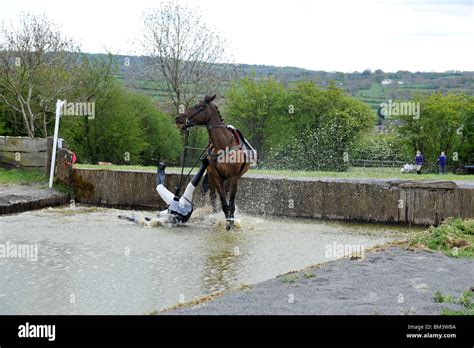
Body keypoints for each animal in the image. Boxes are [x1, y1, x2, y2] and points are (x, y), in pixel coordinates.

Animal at [176, 95, 252, 231]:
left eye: (198, 106)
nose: (178, 118)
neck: (223, 144)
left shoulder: (233, 177)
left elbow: (231, 203)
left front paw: (231, 222)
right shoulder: (216, 176)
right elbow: (223, 202)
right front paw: (226, 221)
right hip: (213, 178)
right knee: (213, 197)